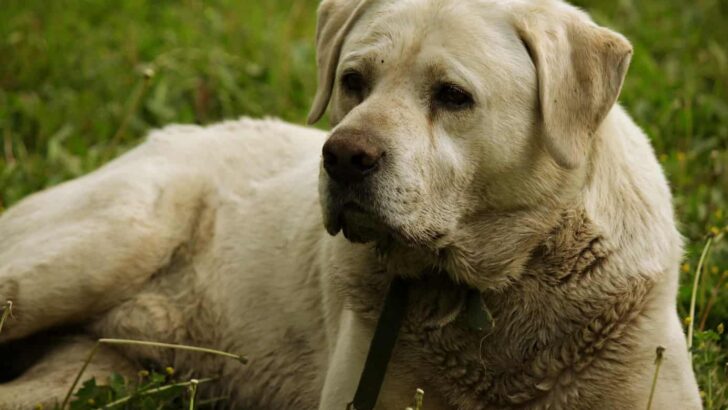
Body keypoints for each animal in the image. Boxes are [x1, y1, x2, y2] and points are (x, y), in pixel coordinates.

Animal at [1, 0, 704, 408]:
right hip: (105, 243)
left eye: (453, 95)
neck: (491, 292)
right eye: (352, 81)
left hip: (95, 366)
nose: (341, 157)